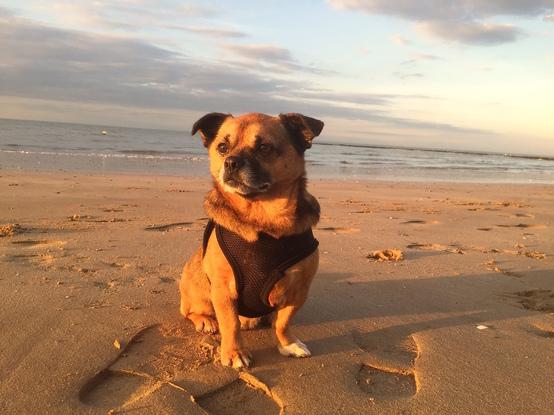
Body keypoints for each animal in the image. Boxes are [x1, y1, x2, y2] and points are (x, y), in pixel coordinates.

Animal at [177, 112, 324, 368]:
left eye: (264, 147)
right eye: (222, 147)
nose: (231, 162)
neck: (262, 219)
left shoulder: (298, 291)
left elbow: (283, 322)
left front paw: (288, 344)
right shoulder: (223, 291)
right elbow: (230, 324)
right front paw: (234, 352)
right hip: (198, 287)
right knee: (191, 311)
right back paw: (205, 320)